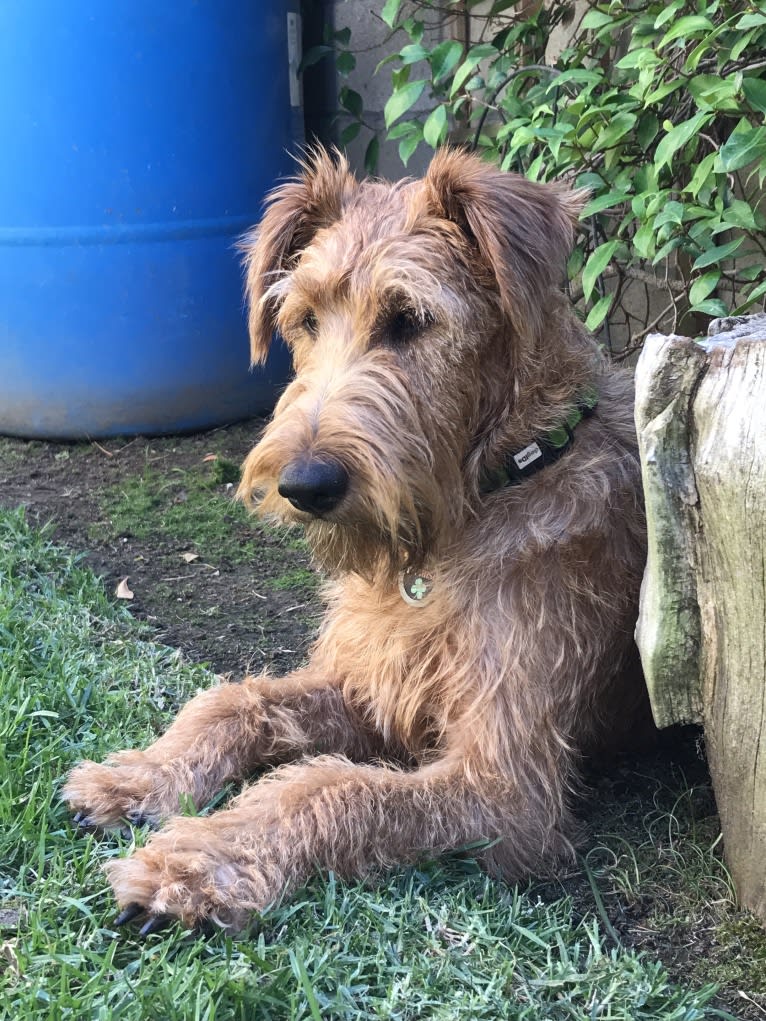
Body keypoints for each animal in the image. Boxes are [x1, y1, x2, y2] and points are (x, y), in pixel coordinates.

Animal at [63, 146, 649, 935]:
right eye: (305, 318)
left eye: (410, 319)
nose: (304, 484)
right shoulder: (368, 684)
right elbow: (236, 701)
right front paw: (136, 777)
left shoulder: (506, 783)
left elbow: (328, 788)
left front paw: (195, 860)